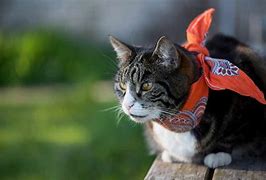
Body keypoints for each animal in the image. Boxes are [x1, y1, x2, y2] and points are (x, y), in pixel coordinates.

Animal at [108, 33, 266, 169]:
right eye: (122, 85)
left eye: (147, 86)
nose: (127, 105)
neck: (176, 120)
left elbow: (233, 132)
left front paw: (218, 153)